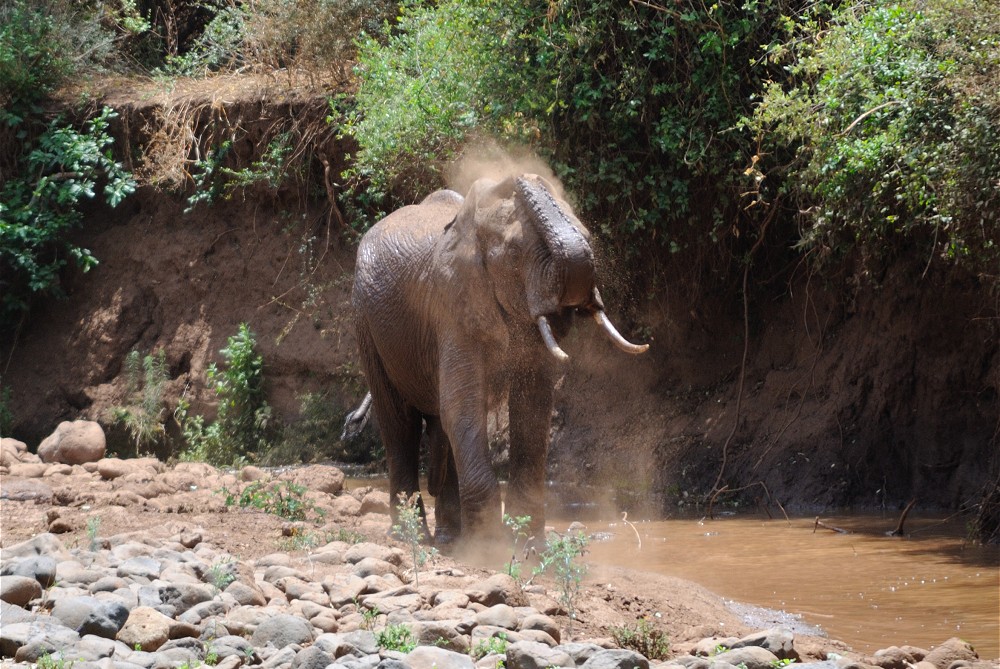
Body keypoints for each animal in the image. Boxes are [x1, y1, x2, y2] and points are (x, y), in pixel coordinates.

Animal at [350, 172, 648, 544]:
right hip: (366, 321)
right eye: (514, 253)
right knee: (399, 424)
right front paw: (491, 548)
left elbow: (533, 407)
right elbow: (462, 406)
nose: (520, 176)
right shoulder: (453, 307)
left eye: (588, 236)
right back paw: (414, 538)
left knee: (437, 425)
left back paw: (450, 539)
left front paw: (526, 544)